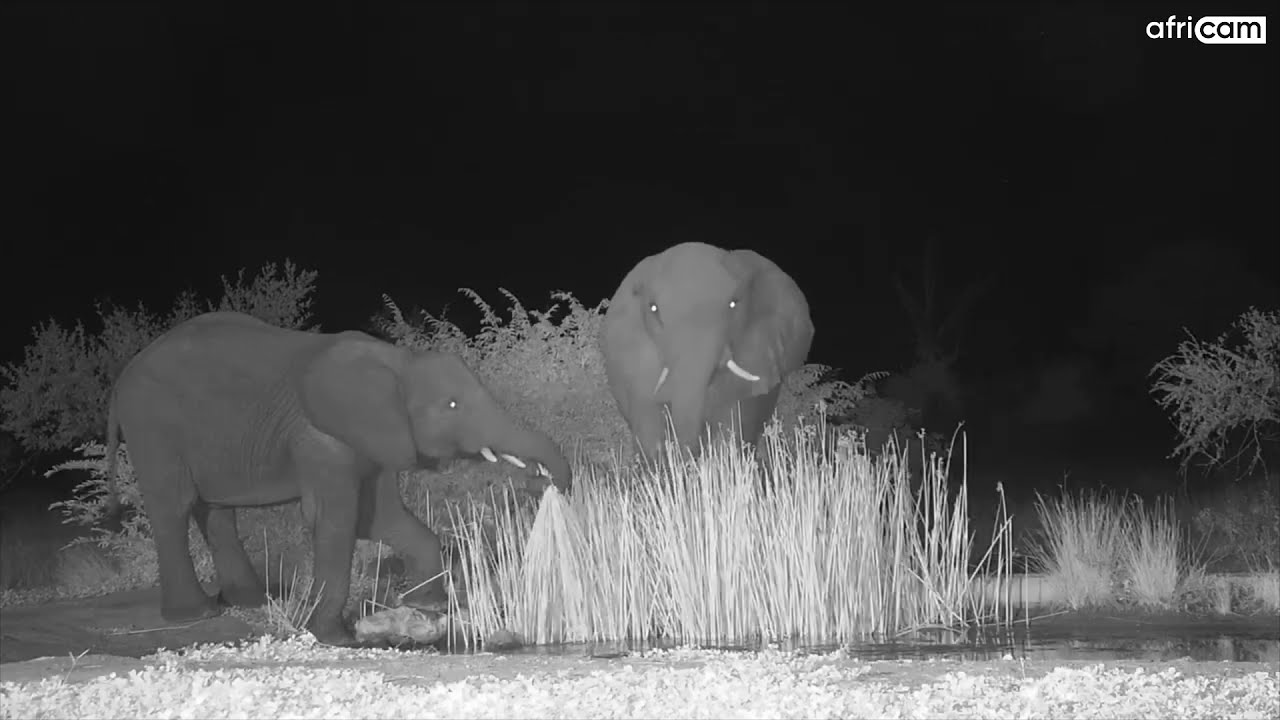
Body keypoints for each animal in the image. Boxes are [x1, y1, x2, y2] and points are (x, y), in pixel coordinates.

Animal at [103, 311, 571, 646]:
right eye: (452, 405)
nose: (545, 480)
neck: (396, 362)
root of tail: (121, 378)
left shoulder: (374, 438)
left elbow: (380, 516)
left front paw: (425, 604)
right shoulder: (320, 437)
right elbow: (336, 520)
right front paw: (335, 638)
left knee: (216, 510)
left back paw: (251, 600)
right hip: (152, 426)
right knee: (174, 506)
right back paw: (195, 614)